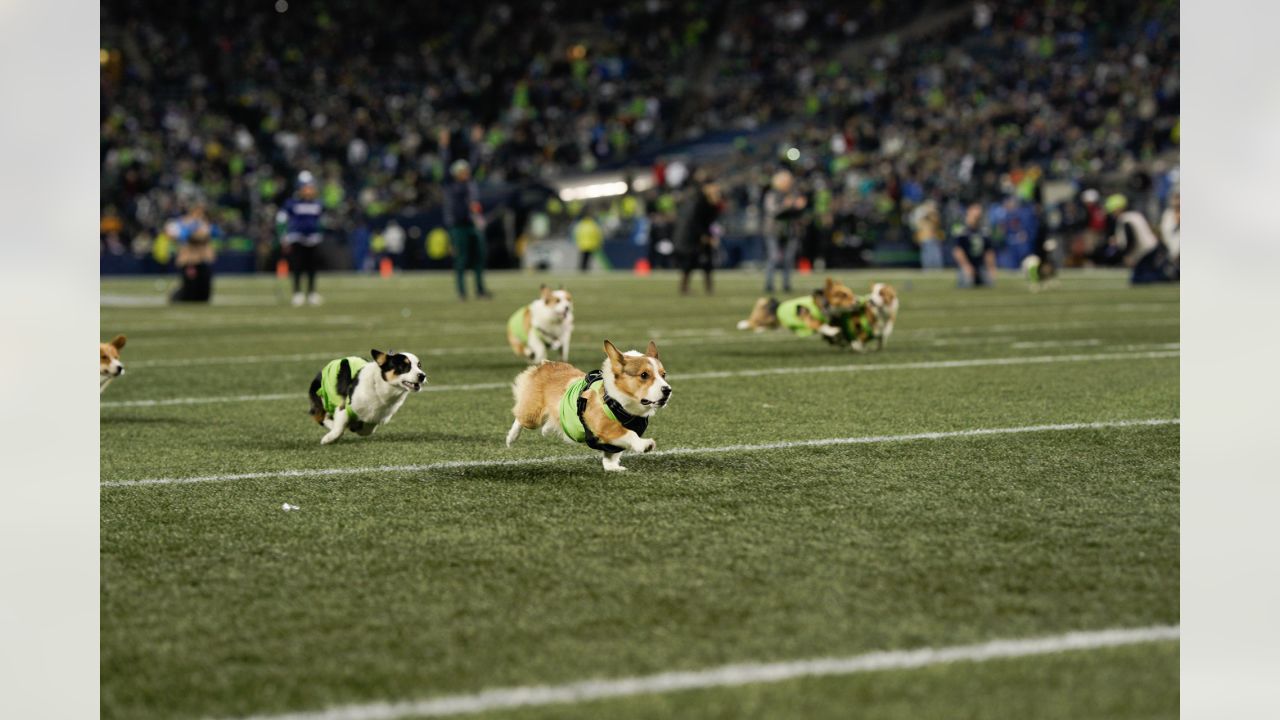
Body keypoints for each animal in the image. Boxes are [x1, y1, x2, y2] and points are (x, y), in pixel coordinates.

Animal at [506, 338, 675, 468]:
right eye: (644, 375)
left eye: (663, 374)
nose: (668, 390)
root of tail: (545, 364)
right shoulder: (605, 426)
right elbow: (629, 434)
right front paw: (644, 445)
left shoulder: (612, 443)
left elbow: (611, 455)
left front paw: (613, 467)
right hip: (532, 415)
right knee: (520, 418)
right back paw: (511, 437)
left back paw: (547, 429)